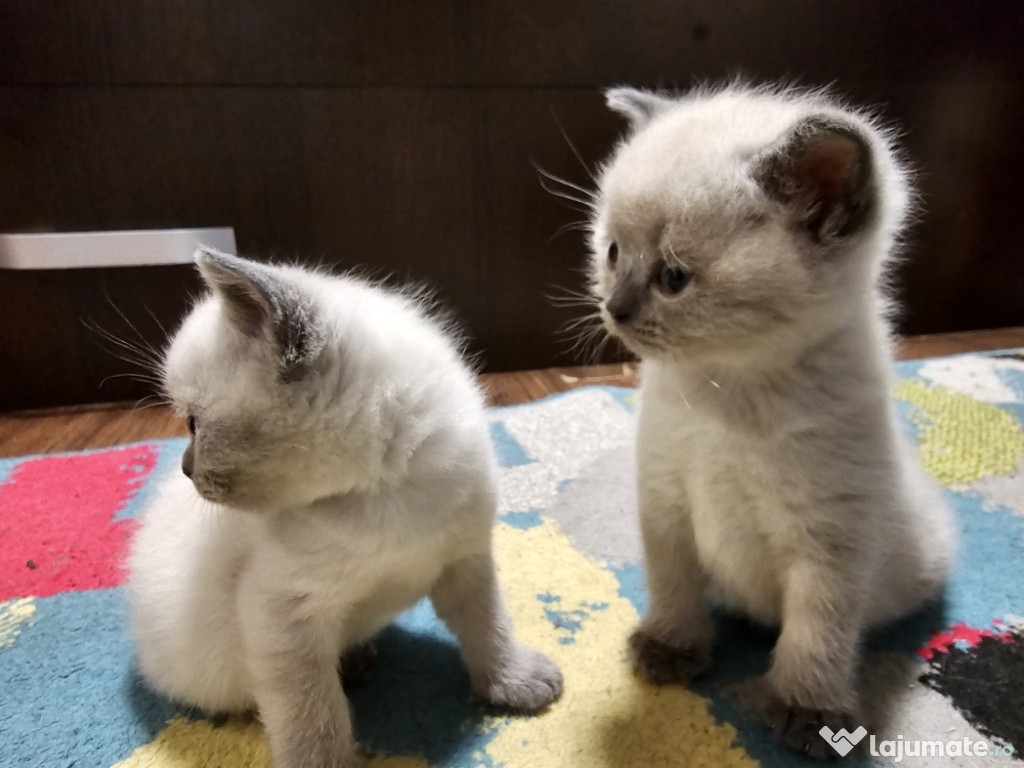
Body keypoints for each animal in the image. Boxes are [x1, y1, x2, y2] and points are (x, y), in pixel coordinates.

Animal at [129, 249, 565, 768]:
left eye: (194, 424)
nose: (184, 468)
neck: (388, 491)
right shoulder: (284, 616)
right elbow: (312, 716)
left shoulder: (467, 560)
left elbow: (489, 627)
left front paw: (511, 683)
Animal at [585, 85, 958, 757]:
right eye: (612, 253)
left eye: (674, 277)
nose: (614, 308)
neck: (725, 394)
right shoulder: (665, 506)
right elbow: (673, 586)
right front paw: (671, 647)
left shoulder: (829, 541)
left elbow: (817, 632)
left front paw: (808, 710)